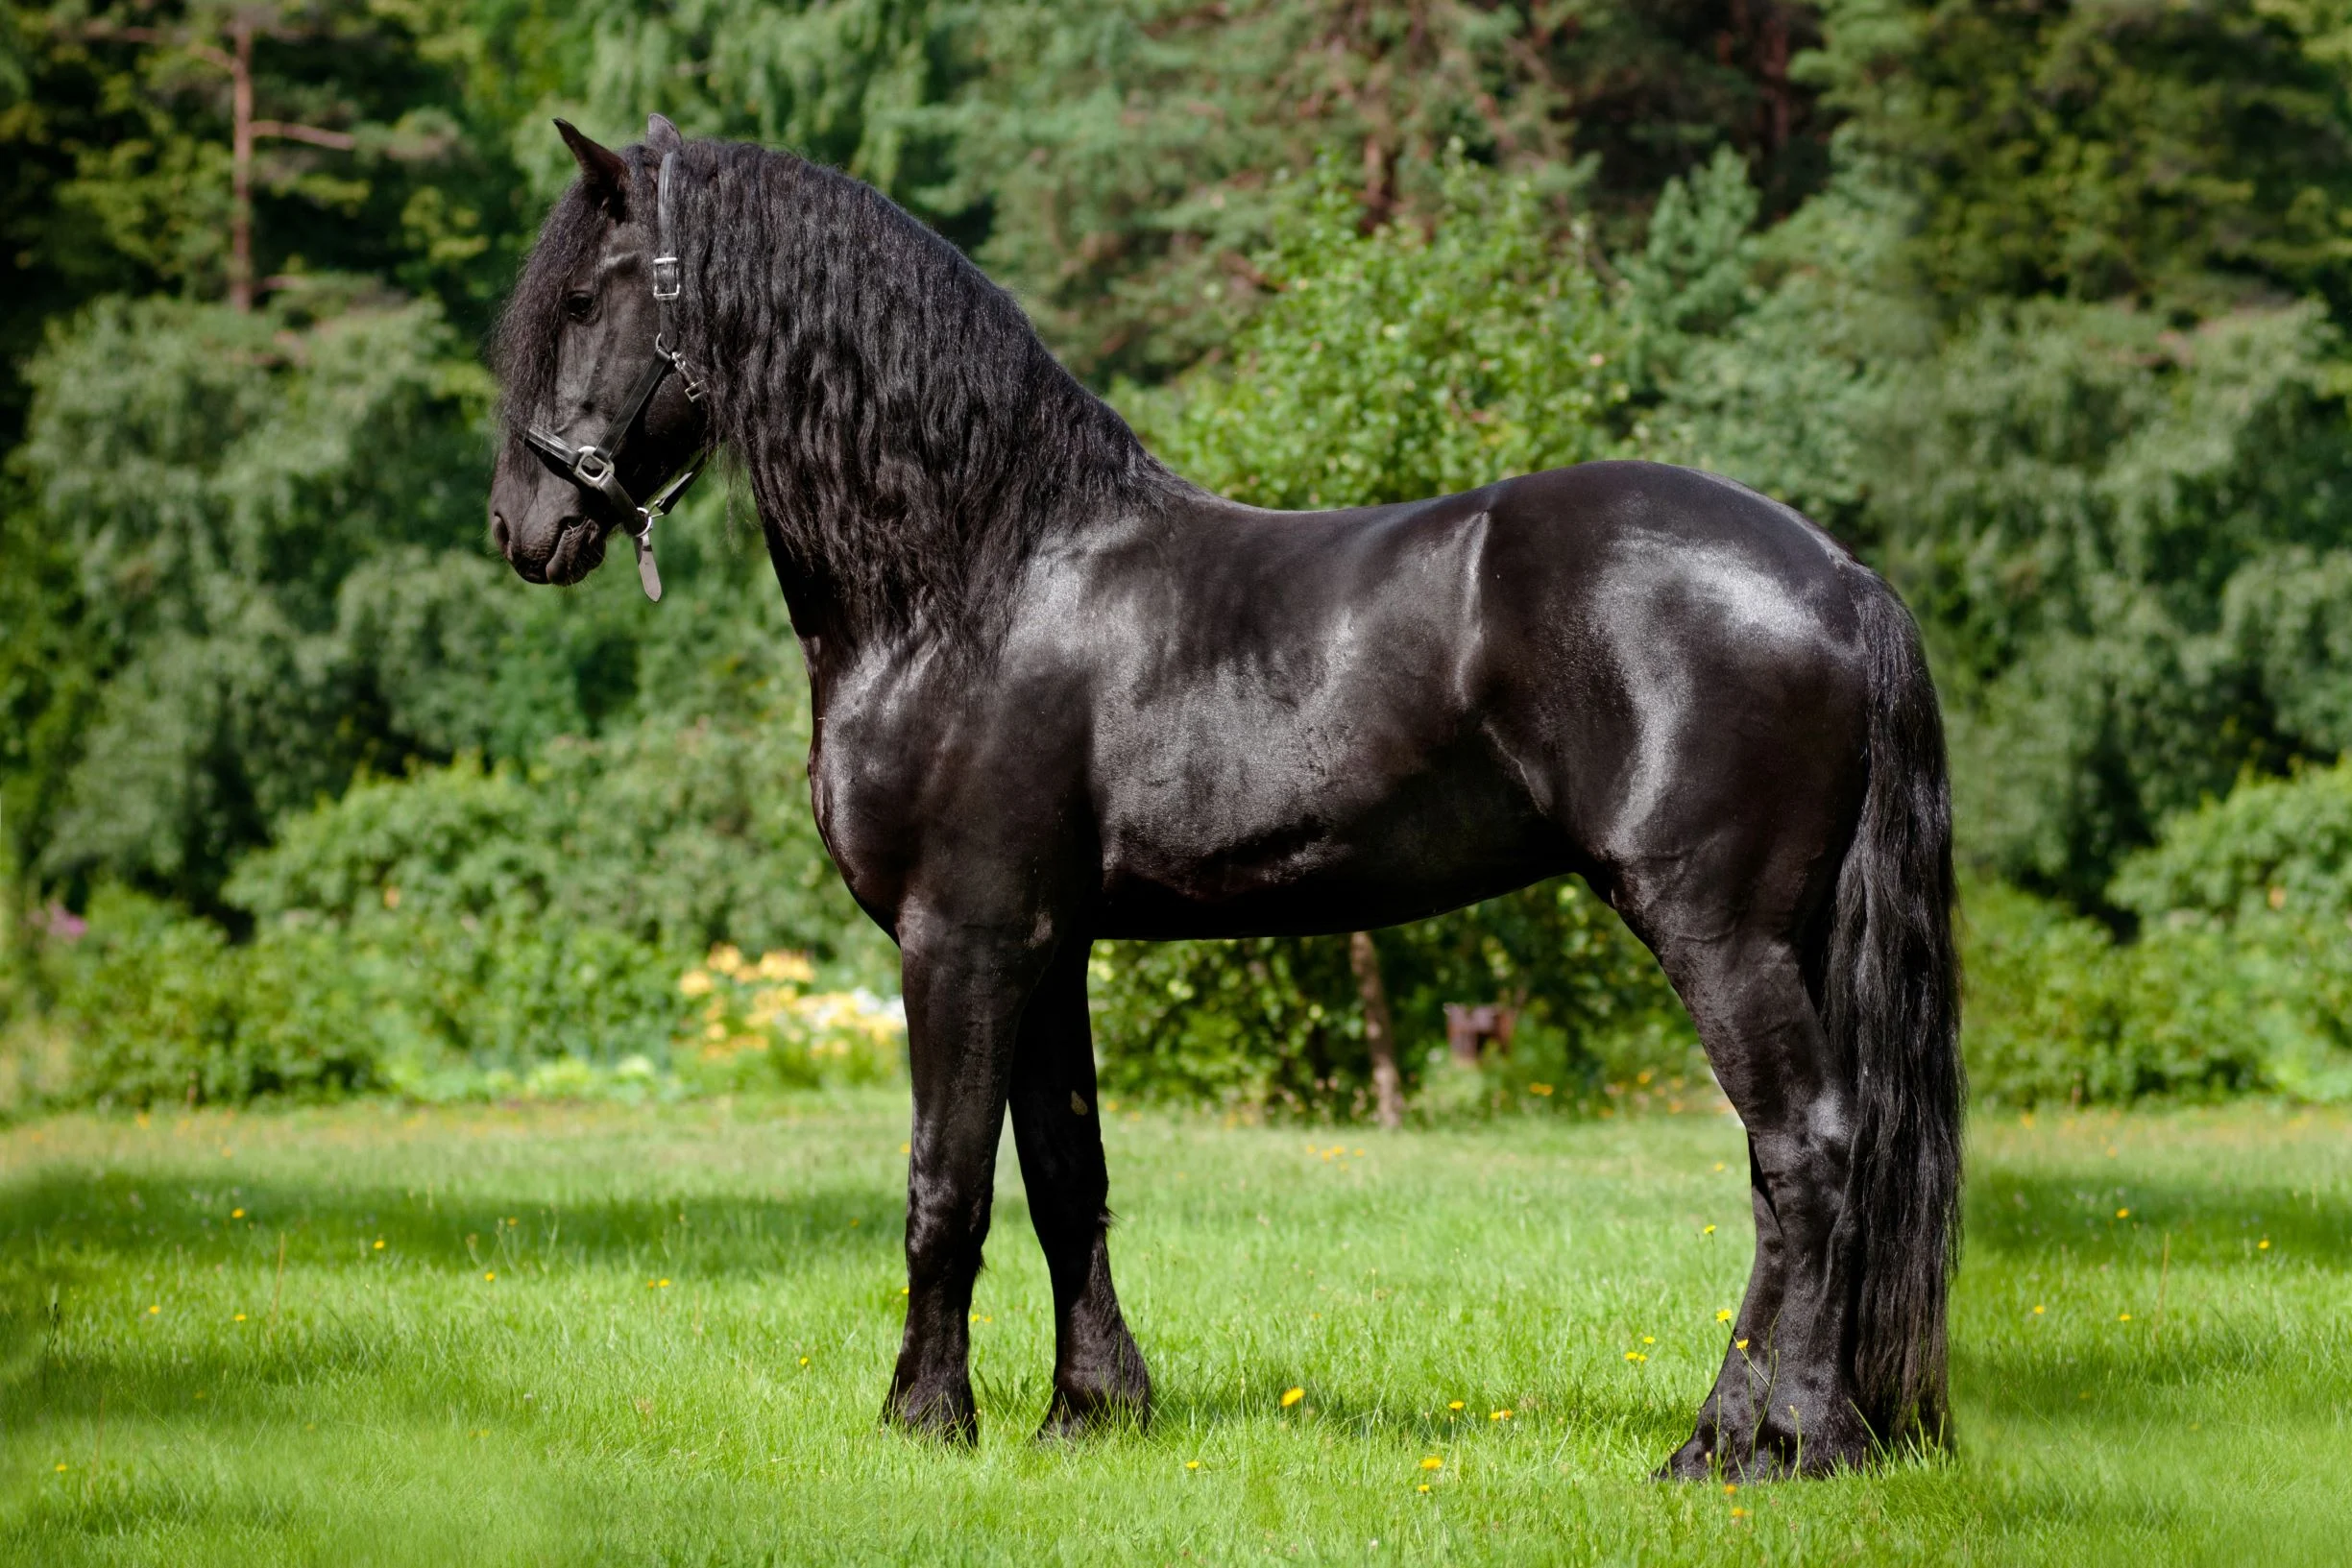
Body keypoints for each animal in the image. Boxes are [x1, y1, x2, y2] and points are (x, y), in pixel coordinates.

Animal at [486, 122, 1956, 1485]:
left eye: (584, 298)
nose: (520, 527)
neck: (975, 578)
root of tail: (1838, 576)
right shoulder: (1046, 946)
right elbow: (1064, 1178)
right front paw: (1089, 1411)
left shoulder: (959, 937)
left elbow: (943, 1186)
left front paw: (925, 1418)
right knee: (1795, 1168)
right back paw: (1747, 1441)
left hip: (1717, 931)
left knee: (1806, 1153)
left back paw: (1772, 1443)